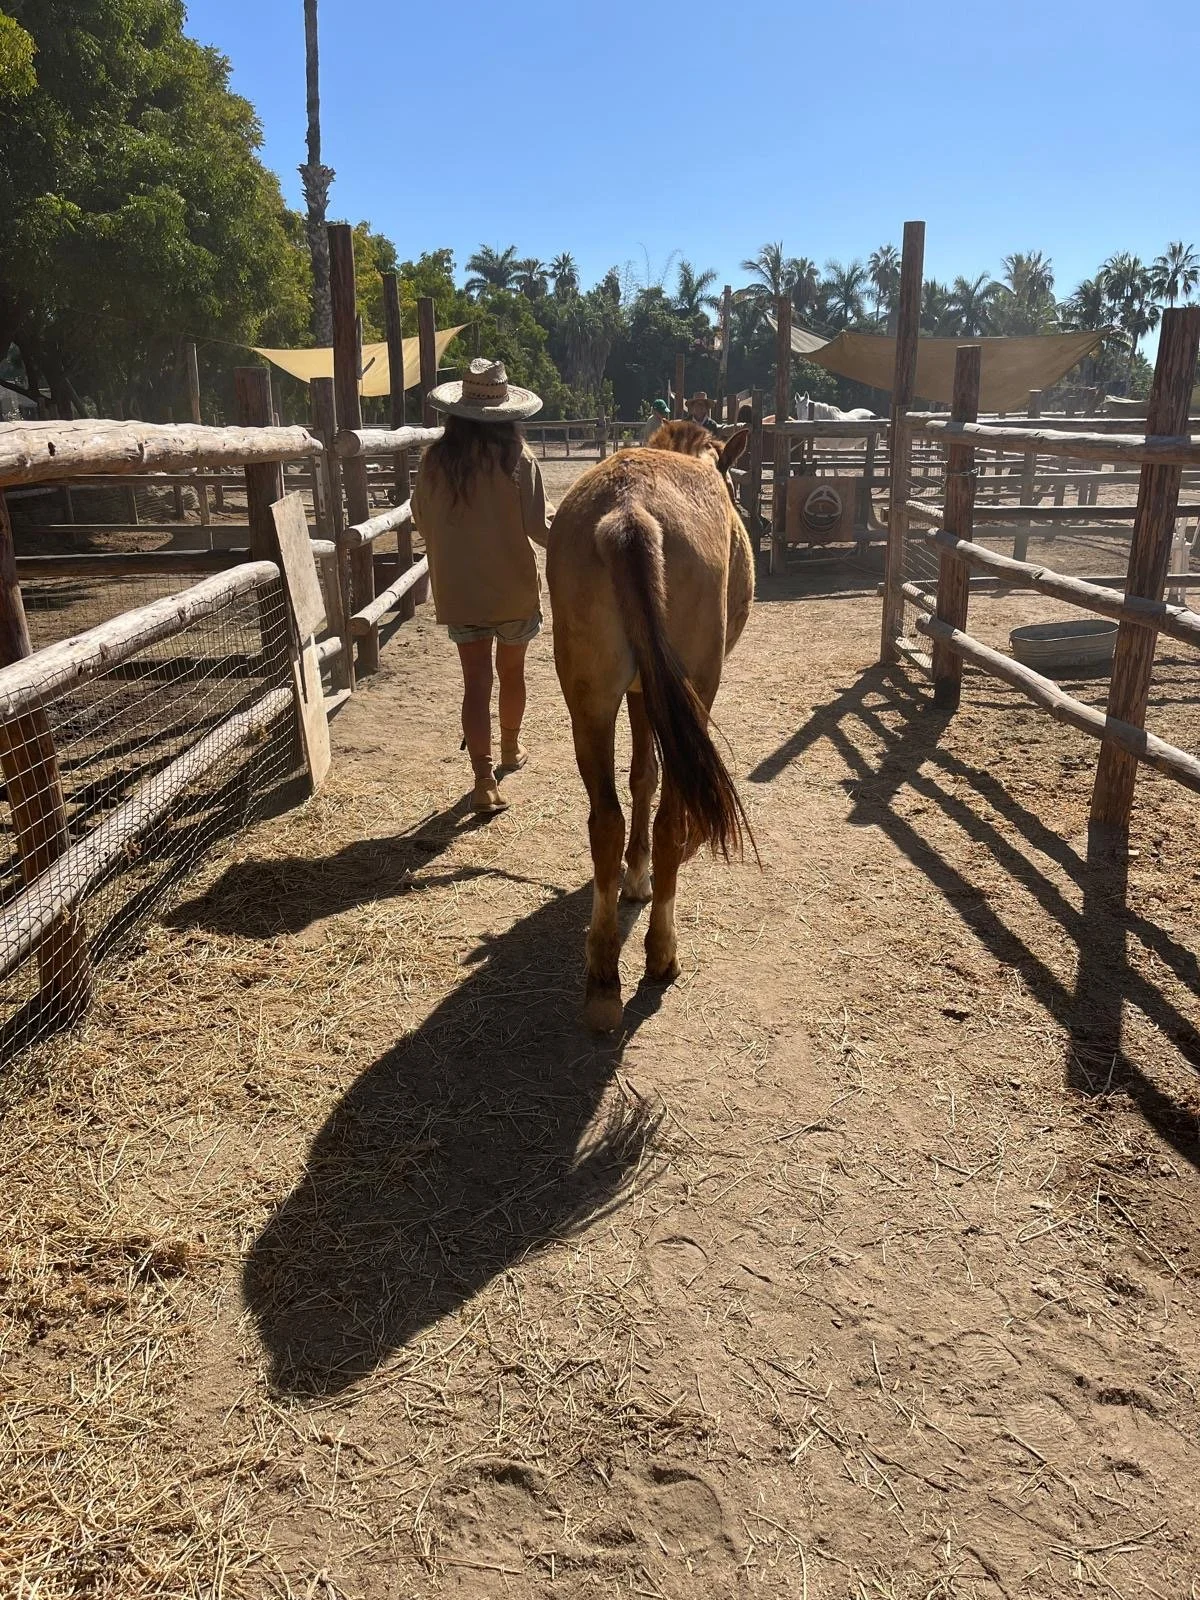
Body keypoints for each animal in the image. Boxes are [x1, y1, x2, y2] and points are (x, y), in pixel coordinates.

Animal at [546, 421, 756, 1032]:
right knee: (670, 818)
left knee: (604, 821)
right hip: (695, 687)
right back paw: (661, 952)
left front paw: (632, 874)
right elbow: (655, 779)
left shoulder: (640, 693)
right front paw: (643, 877)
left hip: (589, 700)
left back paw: (601, 977)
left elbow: (641, 774)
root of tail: (629, 510)